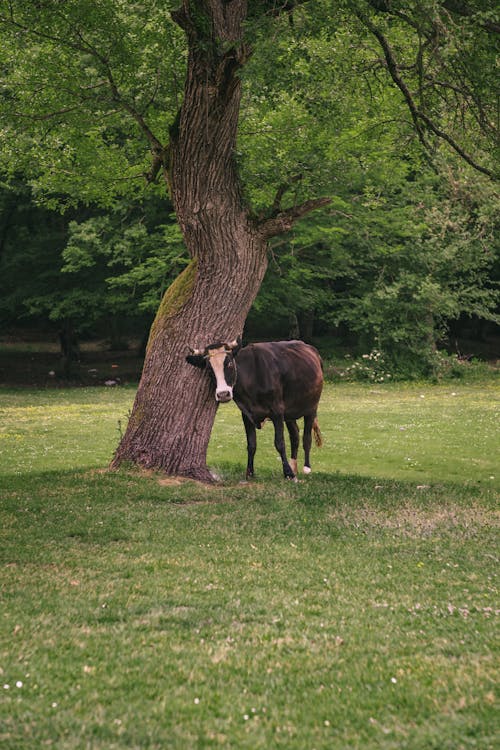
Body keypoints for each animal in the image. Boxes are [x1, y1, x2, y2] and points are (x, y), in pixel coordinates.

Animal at [186, 340, 322, 482]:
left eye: (229, 363)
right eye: (209, 368)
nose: (223, 394)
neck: (252, 377)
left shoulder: (277, 411)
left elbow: (279, 443)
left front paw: (288, 473)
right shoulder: (246, 413)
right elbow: (251, 444)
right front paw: (249, 473)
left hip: (312, 406)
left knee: (306, 437)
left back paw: (306, 468)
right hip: (290, 413)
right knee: (295, 435)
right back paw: (293, 467)